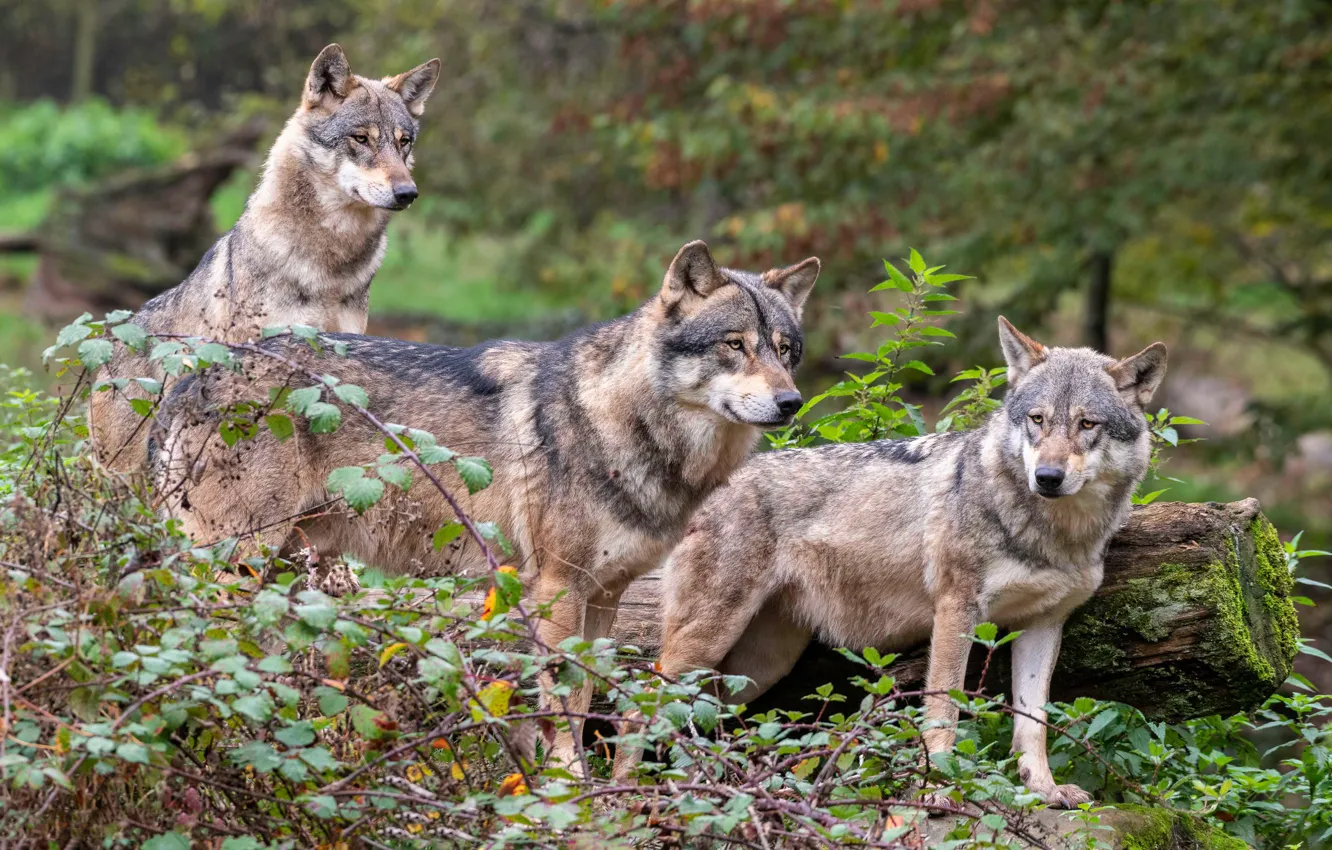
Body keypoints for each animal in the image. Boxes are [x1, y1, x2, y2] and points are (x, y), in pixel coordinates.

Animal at [156, 240, 820, 769]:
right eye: (735, 345)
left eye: (785, 350)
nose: (790, 402)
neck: (624, 423)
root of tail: (196, 374)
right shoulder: (557, 589)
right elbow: (560, 704)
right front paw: (565, 786)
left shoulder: (605, 595)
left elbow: (584, 699)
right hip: (235, 566)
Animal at [613, 318, 1167, 807]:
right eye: (1038, 420)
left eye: (1087, 424)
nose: (1047, 477)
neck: (1053, 532)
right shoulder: (956, 611)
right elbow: (944, 710)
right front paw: (937, 790)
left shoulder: (1044, 624)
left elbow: (1033, 723)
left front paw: (1045, 793)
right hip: (709, 640)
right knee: (637, 705)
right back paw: (626, 795)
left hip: (757, 668)